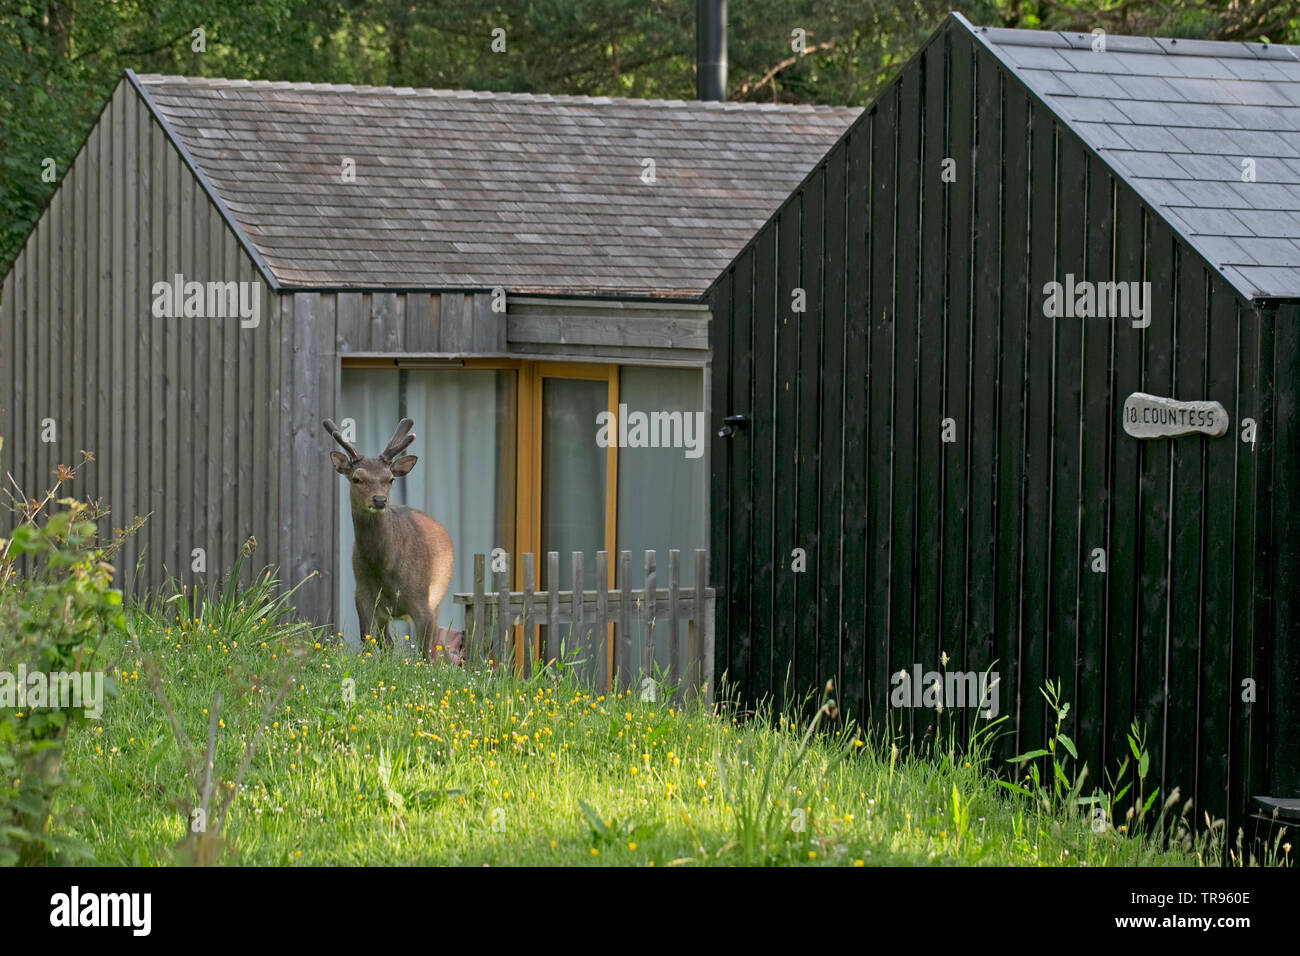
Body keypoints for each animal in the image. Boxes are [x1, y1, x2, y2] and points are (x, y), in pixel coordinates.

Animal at [323, 417, 456, 663]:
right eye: (357, 478)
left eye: (391, 479)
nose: (379, 500)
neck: (385, 569)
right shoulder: (363, 595)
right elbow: (367, 642)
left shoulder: (422, 600)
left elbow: (424, 654)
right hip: (384, 613)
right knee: (387, 644)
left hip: (436, 599)